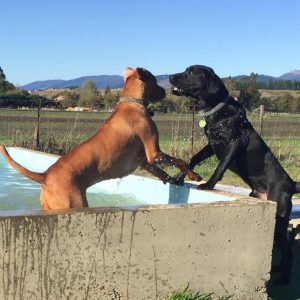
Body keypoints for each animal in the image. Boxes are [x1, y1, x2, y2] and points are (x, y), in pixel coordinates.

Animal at [1, 67, 202, 210]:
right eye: (154, 80)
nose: (166, 90)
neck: (131, 102)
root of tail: (45, 176)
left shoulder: (145, 160)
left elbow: (162, 172)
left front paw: (176, 180)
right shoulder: (153, 152)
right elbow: (180, 160)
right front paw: (194, 175)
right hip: (74, 204)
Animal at [170, 64, 298, 284]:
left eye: (191, 72)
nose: (169, 77)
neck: (218, 111)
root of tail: (291, 184)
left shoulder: (234, 144)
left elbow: (220, 167)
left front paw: (208, 184)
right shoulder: (211, 145)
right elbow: (193, 158)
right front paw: (179, 178)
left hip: (279, 218)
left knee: (288, 252)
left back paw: (283, 279)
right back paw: (278, 270)